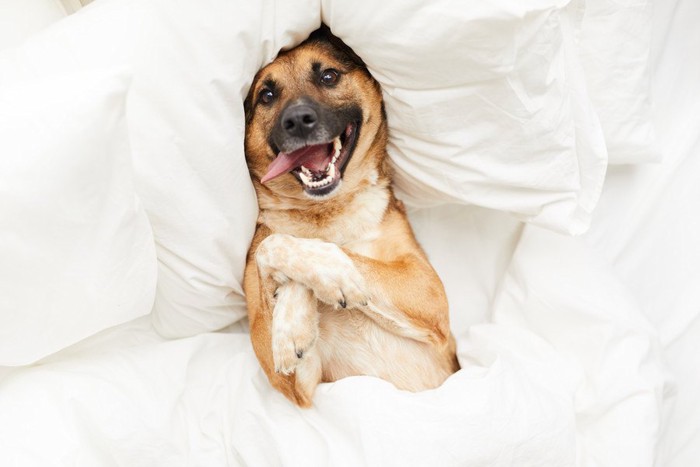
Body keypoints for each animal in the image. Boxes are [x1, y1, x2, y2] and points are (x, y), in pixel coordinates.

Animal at [242, 25, 460, 408]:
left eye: (328, 76)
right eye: (267, 95)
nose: (297, 121)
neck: (325, 213)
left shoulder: (428, 292)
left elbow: (315, 250)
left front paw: (332, 277)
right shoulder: (295, 383)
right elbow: (272, 243)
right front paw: (294, 324)